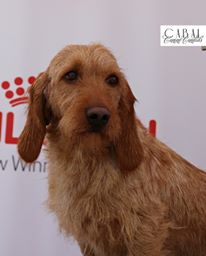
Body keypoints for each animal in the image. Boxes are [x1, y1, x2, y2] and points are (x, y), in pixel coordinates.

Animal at [17, 45, 206, 255]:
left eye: (112, 80)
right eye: (71, 75)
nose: (99, 115)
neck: (89, 162)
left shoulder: (144, 235)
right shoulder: (89, 241)